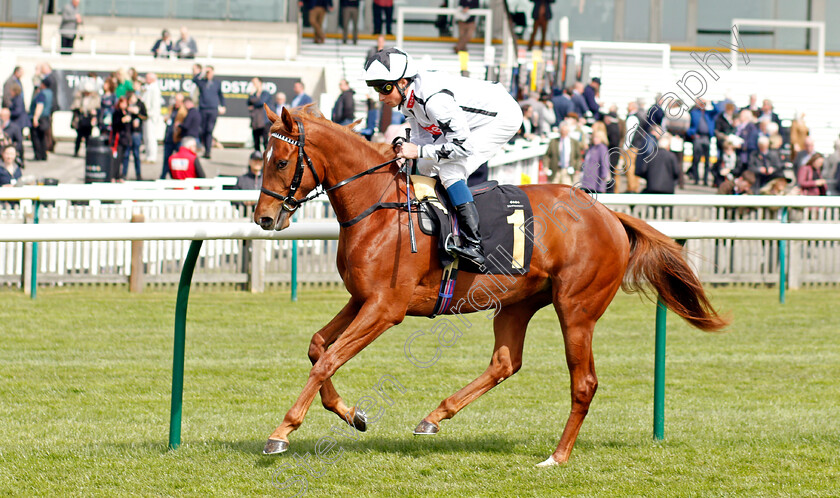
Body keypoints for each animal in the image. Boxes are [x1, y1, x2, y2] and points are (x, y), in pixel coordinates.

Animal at [254, 106, 728, 466]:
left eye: (281, 162)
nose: (263, 218)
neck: (379, 207)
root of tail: (609, 214)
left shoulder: (386, 308)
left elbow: (328, 360)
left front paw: (282, 431)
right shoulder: (362, 299)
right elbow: (318, 347)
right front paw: (351, 414)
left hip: (576, 308)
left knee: (584, 383)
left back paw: (556, 457)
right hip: (516, 303)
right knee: (505, 362)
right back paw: (434, 416)